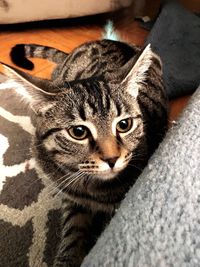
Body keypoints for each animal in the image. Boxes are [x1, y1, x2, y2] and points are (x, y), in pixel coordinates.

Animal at [0, 24, 168, 266]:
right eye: (78, 132)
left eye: (124, 125)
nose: (112, 159)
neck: (95, 191)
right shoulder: (71, 197)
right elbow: (73, 231)